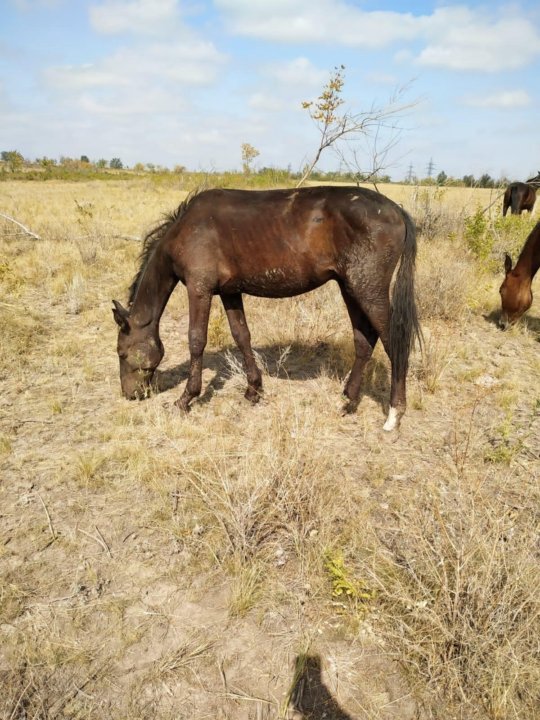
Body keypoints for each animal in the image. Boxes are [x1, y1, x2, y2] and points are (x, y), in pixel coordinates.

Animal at [113, 187, 422, 434]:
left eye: (122, 353)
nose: (130, 395)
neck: (188, 228)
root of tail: (396, 210)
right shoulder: (229, 292)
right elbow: (241, 335)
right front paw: (253, 390)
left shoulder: (199, 289)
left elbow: (196, 340)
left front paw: (186, 398)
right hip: (350, 288)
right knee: (364, 340)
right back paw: (349, 401)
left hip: (367, 290)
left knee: (394, 344)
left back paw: (394, 415)